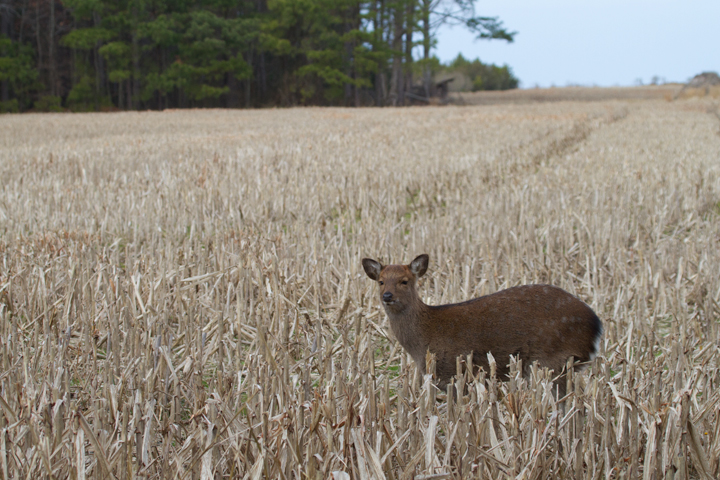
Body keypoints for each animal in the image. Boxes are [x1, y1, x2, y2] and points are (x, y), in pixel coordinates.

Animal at [362, 254, 602, 398]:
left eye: (404, 280)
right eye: (381, 281)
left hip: (554, 361)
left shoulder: (455, 372)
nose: (387, 296)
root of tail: (596, 326)